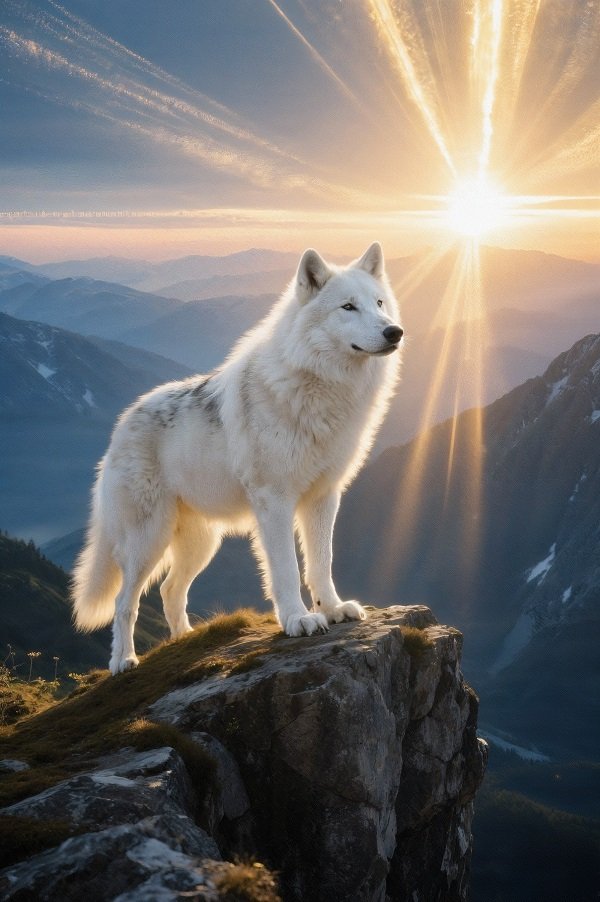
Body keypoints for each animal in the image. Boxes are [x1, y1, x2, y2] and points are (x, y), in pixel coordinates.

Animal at [72, 242, 403, 674]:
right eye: (348, 307)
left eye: (379, 303)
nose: (394, 331)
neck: (320, 387)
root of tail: (122, 423)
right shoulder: (274, 502)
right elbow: (286, 569)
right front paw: (298, 619)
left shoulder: (323, 498)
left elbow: (321, 562)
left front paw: (332, 609)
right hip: (148, 541)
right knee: (124, 601)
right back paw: (123, 660)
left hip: (200, 544)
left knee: (170, 590)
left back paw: (185, 640)